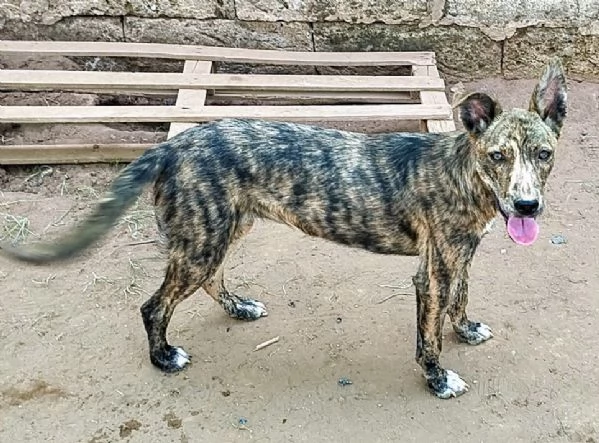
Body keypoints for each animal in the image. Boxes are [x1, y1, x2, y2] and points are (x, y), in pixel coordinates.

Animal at [0, 57, 568, 400]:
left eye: (543, 155)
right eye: (498, 156)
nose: (526, 205)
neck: (461, 171)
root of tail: (172, 145)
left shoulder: (459, 256)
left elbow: (461, 299)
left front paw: (466, 329)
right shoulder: (433, 272)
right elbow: (429, 334)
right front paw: (438, 377)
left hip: (223, 231)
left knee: (211, 280)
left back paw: (239, 307)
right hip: (202, 241)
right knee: (154, 306)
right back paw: (163, 356)